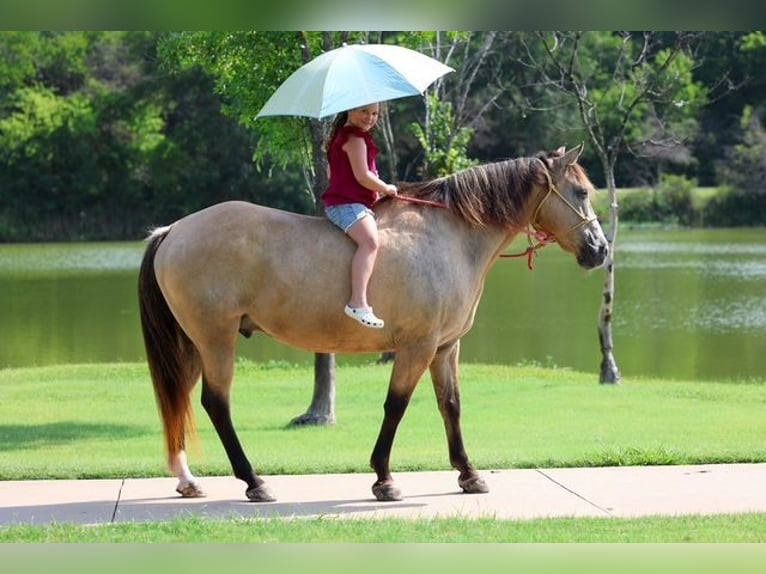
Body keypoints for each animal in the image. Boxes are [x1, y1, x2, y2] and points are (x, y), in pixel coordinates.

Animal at [137, 143, 608, 503]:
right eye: (580, 191)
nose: (600, 250)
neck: (449, 236)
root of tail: (173, 230)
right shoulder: (417, 347)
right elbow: (396, 407)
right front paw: (384, 478)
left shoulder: (444, 348)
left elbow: (450, 406)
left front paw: (468, 474)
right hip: (216, 340)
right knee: (216, 404)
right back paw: (254, 482)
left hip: (193, 344)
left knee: (179, 400)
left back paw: (188, 480)